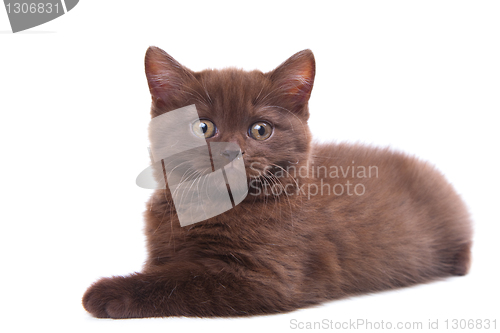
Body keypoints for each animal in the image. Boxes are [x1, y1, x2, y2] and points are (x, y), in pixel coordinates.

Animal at [82, 46, 472, 316]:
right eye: (203, 127)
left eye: (260, 130)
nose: (231, 152)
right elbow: (168, 269)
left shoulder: (268, 277)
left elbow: (182, 280)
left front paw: (106, 293)